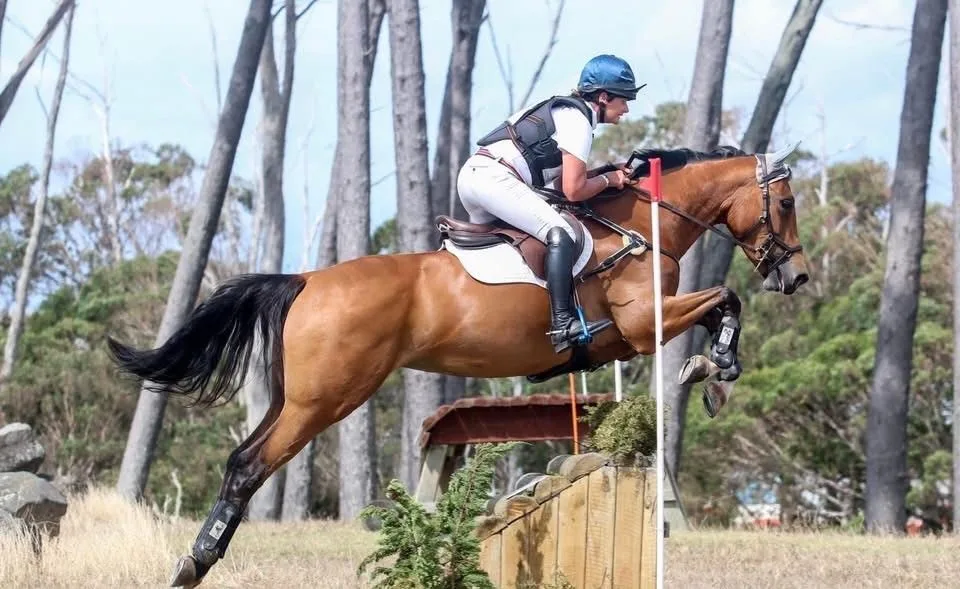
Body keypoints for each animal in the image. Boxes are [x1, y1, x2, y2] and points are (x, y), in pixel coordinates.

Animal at [106, 142, 808, 587]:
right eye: (788, 204)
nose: (797, 276)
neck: (644, 223)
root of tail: (305, 280)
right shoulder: (641, 327)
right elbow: (725, 297)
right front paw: (715, 370)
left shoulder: (629, 337)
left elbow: (720, 305)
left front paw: (713, 374)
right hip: (325, 400)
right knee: (248, 465)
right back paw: (196, 562)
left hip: (293, 397)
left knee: (244, 458)